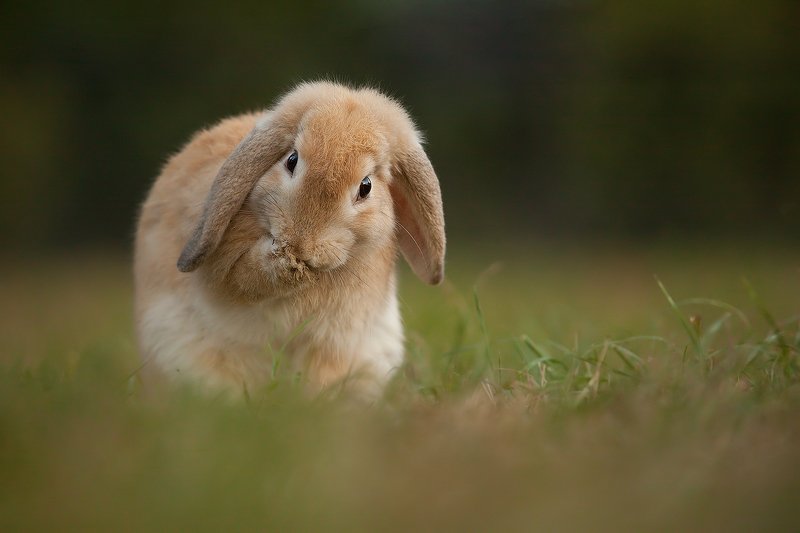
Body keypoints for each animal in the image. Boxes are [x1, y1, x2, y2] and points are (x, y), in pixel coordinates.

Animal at [133, 81, 445, 398]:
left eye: (366, 186)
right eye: (291, 160)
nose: (301, 243)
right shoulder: (220, 269)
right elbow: (241, 279)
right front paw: (284, 266)